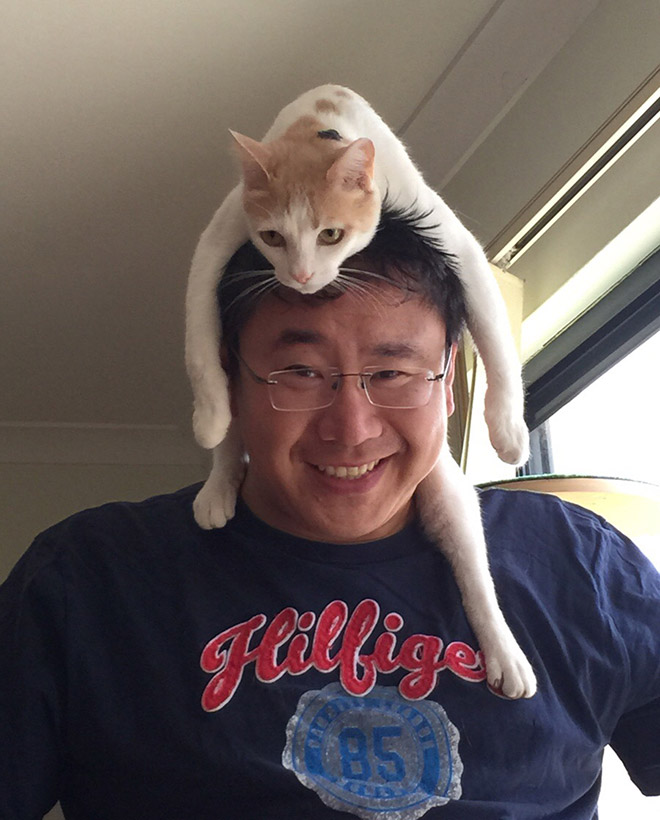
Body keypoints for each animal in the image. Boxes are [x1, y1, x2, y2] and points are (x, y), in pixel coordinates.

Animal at [185, 85, 535, 699]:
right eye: (273, 237)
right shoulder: (219, 241)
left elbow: (495, 340)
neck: (317, 128)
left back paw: (505, 654)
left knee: (475, 573)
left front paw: (508, 431)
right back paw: (218, 484)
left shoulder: (458, 247)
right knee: (232, 427)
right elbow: (200, 343)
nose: (301, 277)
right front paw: (208, 419)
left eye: (331, 234)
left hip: (447, 494)